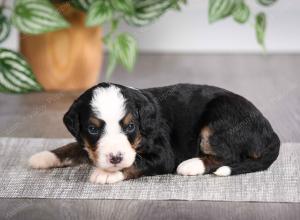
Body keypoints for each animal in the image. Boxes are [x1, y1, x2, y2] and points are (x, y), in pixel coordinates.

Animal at [29, 82, 280, 184]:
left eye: (130, 126)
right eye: (92, 128)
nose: (115, 158)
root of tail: (270, 130)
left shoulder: (163, 154)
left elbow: (136, 163)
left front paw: (108, 174)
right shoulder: (87, 142)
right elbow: (73, 146)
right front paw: (43, 157)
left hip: (218, 121)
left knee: (228, 156)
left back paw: (191, 165)